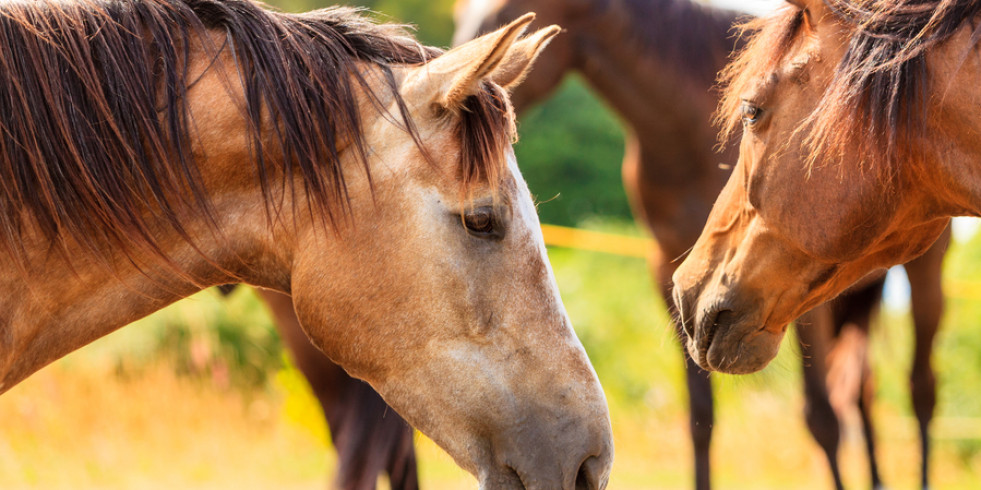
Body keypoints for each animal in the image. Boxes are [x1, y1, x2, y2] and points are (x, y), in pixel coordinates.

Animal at [458, 0, 948, 488]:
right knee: (864, 390)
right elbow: (700, 418)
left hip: (917, 278)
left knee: (919, 390)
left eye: (503, 22)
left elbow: (822, 417)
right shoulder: (673, 277)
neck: (683, 132)